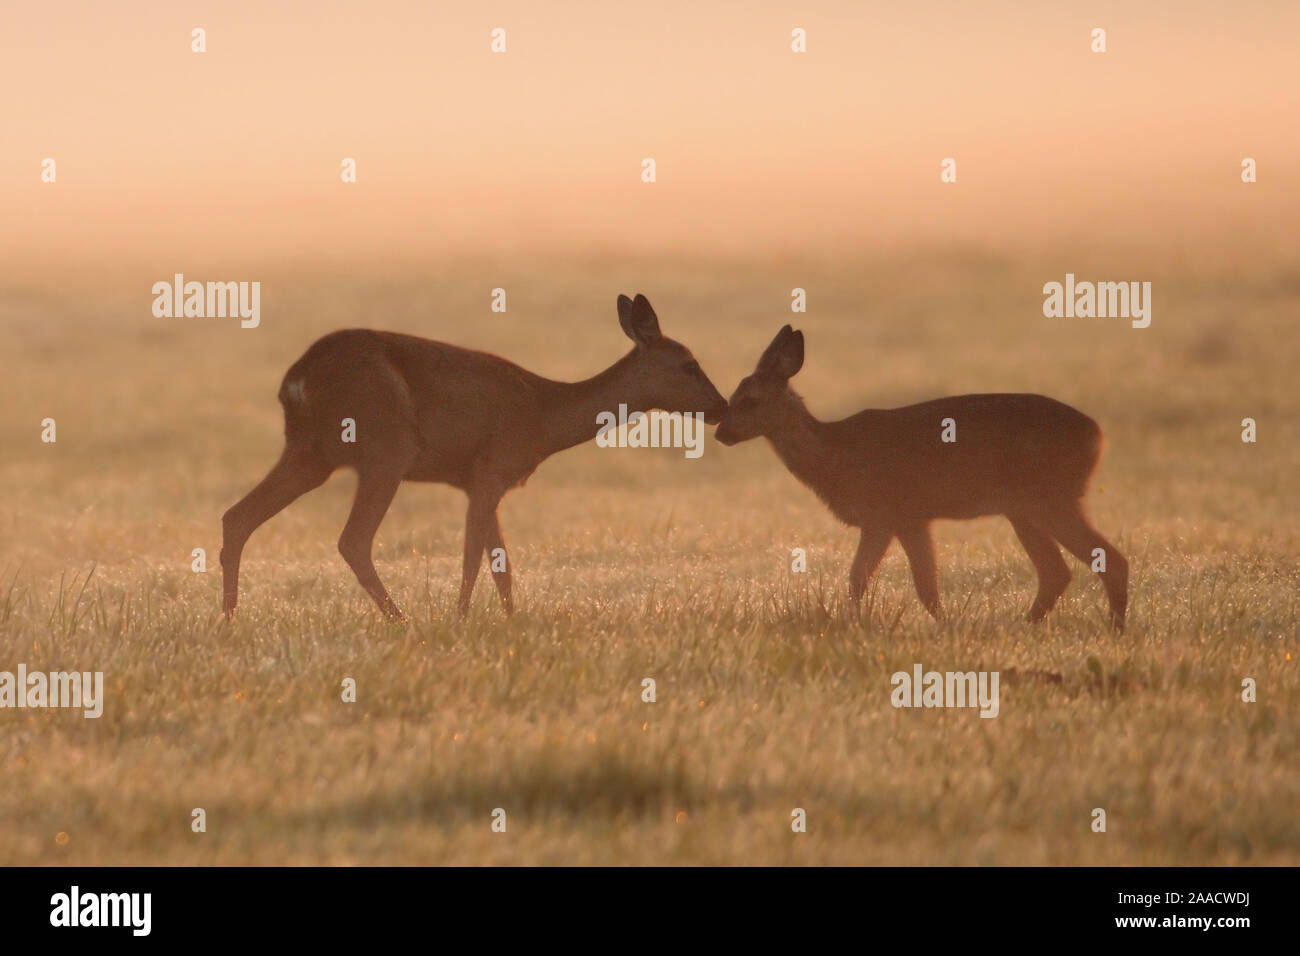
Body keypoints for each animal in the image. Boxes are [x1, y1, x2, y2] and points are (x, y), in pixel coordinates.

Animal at [218, 291, 728, 621]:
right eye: (688, 364)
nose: (722, 407)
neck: (543, 416)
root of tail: (296, 380)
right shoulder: (490, 468)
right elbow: (474, 559)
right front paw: (461, 620)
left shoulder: (482, 483)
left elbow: (502, 565)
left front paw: (511, 623)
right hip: (386, 445)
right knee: (352, 540)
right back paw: (402, 622)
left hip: (310, 452)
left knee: (237, 517)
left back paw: (229, 621)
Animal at [712, 325, 1128, 632]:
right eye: (733, 394)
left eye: (751, 399)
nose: (721, 432)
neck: (836, 455)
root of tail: (1099, 436)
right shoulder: (909, 519)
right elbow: (915, 583)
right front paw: (944, 624)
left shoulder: (888, 514)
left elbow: (874, 579)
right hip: (1025, 509)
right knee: (1056, 571)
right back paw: (1026, 624)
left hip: (1049, 497)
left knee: (1108, 559)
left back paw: (1113, 628)